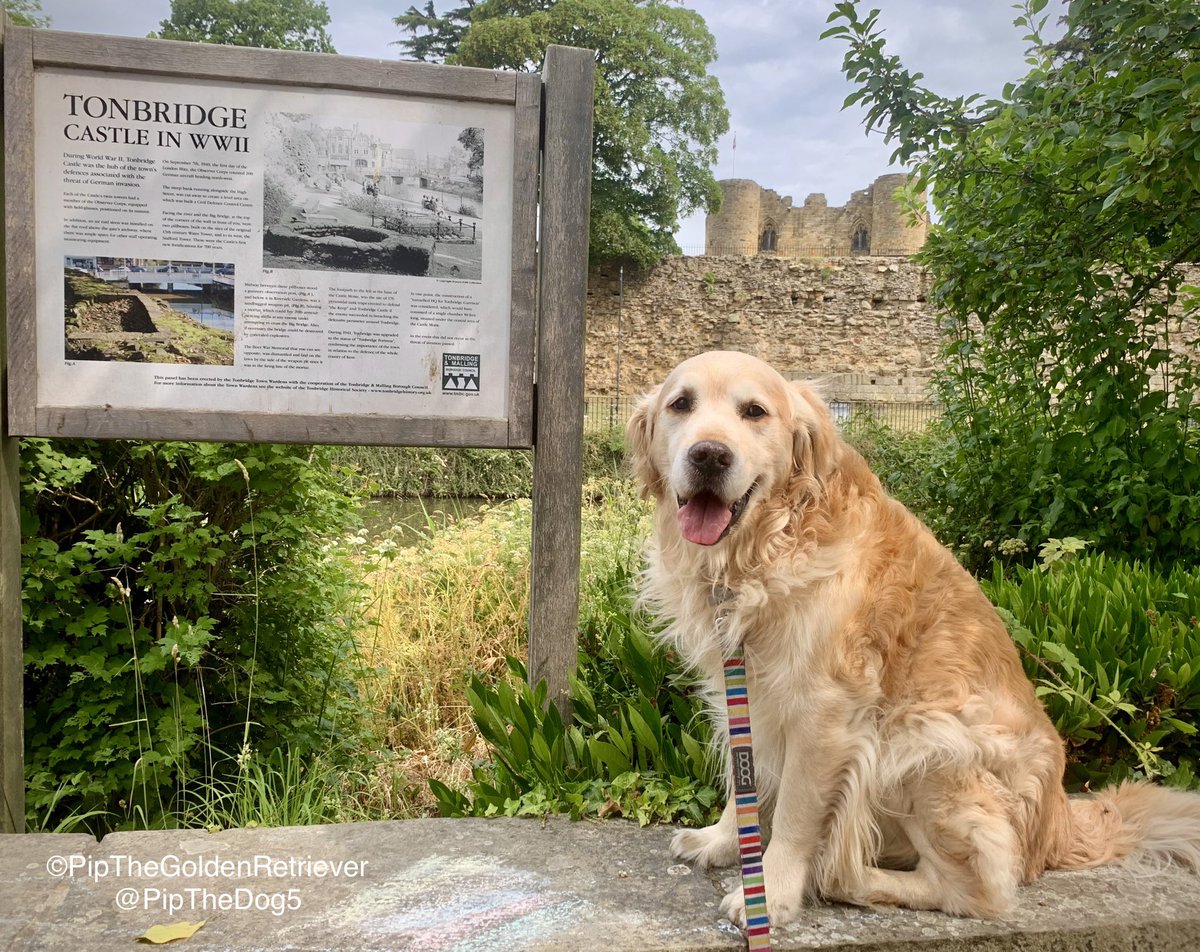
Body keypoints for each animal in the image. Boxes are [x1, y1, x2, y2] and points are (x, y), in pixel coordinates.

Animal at [628, 348, 1200, 921]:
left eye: (754, 412)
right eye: (681, 404)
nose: (709, 456)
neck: (770, 543)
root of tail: (1059, 823)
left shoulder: (825, 712)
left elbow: (792, 815)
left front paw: (769, 895)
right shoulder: (743, 688)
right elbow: (743, 778)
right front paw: (723, 840)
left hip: (925, 738)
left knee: (978, 889)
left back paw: (845, 873)